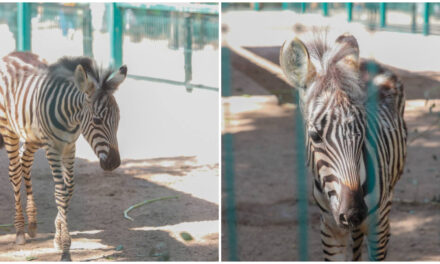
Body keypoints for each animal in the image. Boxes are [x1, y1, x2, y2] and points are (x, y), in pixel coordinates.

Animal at [0, 51, 127, 260]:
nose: (114, 163)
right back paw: (19, 231)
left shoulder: (69, 147)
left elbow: (69, 190)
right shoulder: (53, 148)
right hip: (9, 129)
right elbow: (60, 191)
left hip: (32, 136)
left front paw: (58, 238)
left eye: (118, 120)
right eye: (97, 120)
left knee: (24, 162)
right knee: (15, 172)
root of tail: (12, 54)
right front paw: (66, 249)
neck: (71, 118)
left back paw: (32, 224)